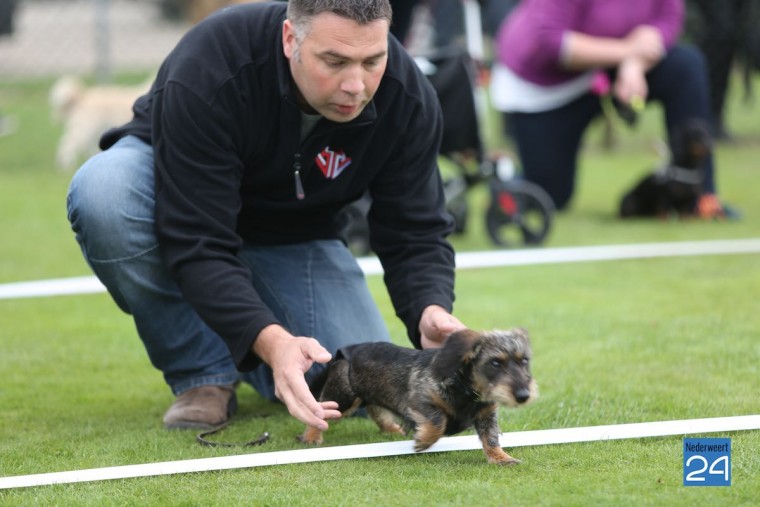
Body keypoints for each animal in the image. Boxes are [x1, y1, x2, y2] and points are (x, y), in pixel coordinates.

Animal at [300, 330, 536, 464]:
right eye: (495, 363)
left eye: (524, 360)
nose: (524, 395)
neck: (466, 390)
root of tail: (344, 352)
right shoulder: (418, 401)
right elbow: (438, 421)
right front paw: (424, 441)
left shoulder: (487, 415)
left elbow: (491, 437)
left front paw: (501, 458)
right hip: (343, 398)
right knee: (320, 411)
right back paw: (311, 436)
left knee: (375, 408)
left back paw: (391, 428)